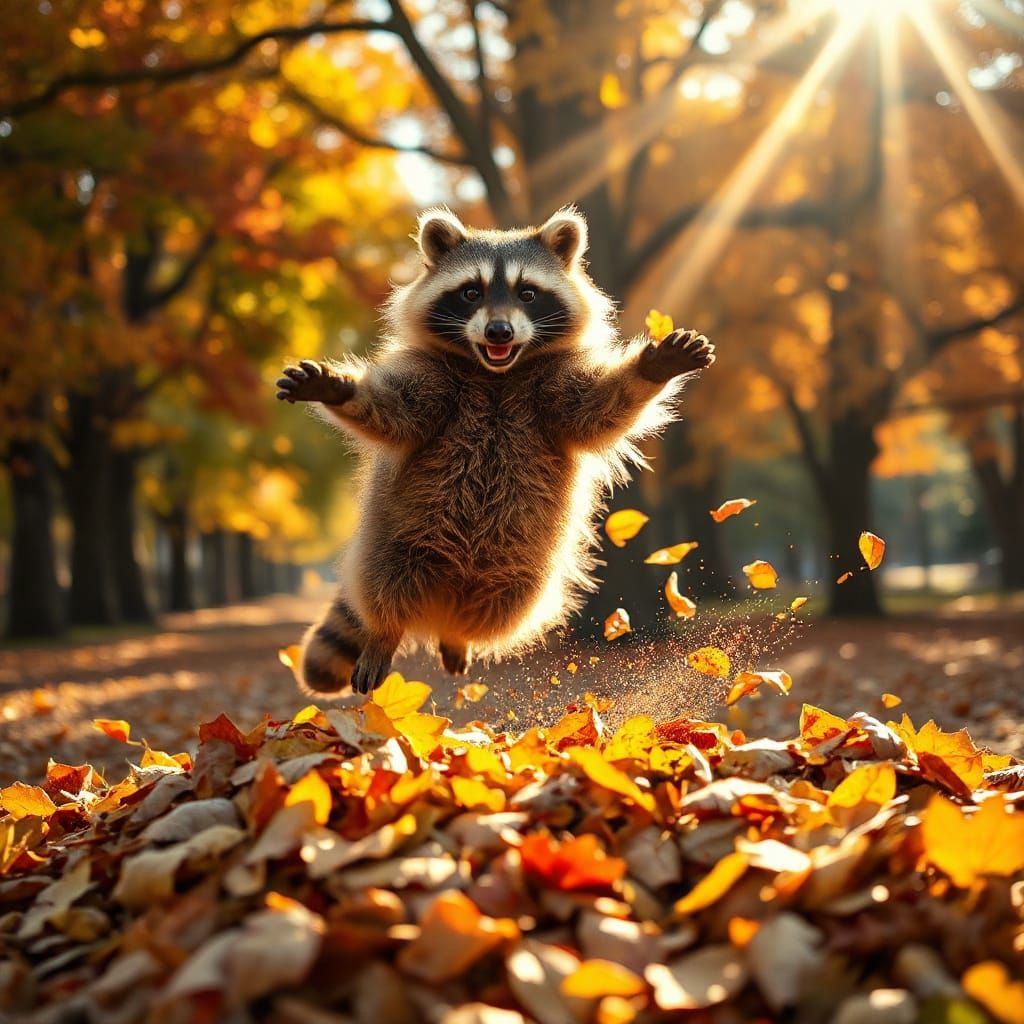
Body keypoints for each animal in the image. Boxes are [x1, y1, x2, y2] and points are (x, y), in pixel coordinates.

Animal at [276, 207, 714, 695]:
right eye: (471, 292)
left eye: (528, 293)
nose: (499, 331)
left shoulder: (552, 388)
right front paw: (339, 389)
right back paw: (385, 632)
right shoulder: (435, 382)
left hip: (521, 570)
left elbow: (597, 409)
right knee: (387, 583)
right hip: (396, 537)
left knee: (501, 605)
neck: (496, 374)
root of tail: (446, 596)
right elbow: (394, 411)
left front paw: (650, 369)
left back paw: (456, 636)